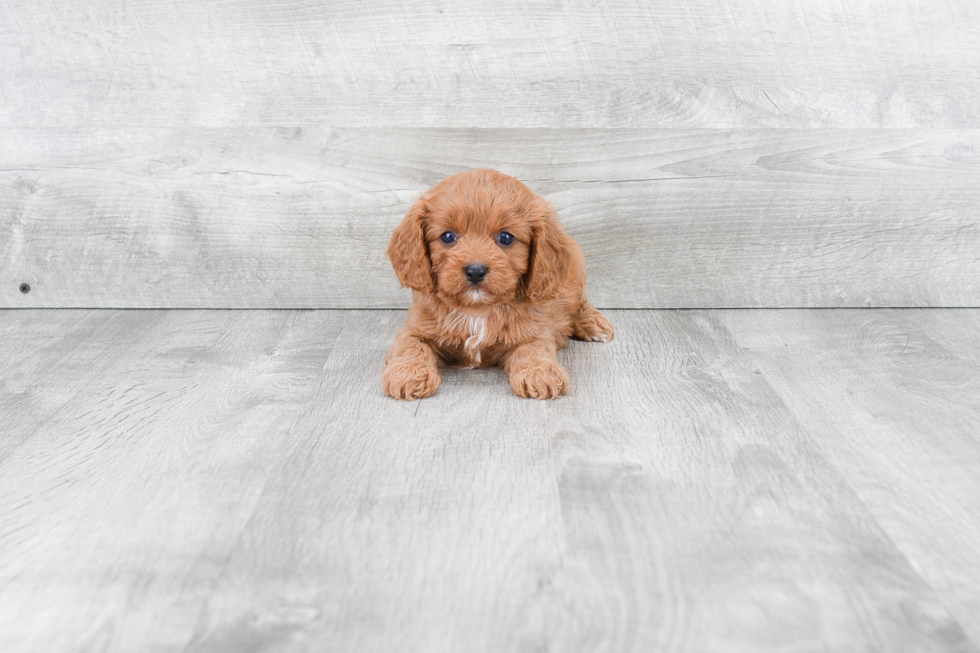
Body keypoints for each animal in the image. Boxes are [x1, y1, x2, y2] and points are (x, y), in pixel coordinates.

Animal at [380, 169, 612, 398]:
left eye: (506, 237)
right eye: (447, 236)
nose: (475, 271)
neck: (477, 310)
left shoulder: (534, 332)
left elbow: (533, 350)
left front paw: (540, 373)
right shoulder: (415, 328)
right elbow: (411, 346)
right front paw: (409, 372)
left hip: (576, 268)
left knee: (580, 302)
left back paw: (592, 323)